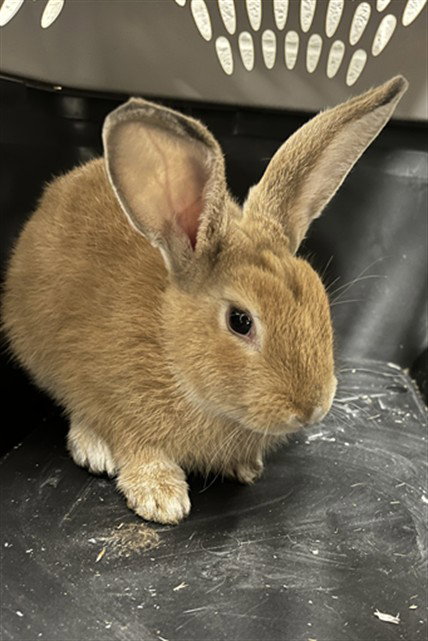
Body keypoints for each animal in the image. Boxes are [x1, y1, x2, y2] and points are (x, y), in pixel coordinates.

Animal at [1, 76, 407, 524]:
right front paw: (162, 500)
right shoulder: (114, 404)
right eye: (240, 321)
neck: (172, 353)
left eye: (319, 298)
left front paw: (245, 467)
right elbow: (135, 446)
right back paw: (93, 449)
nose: (310, 409)